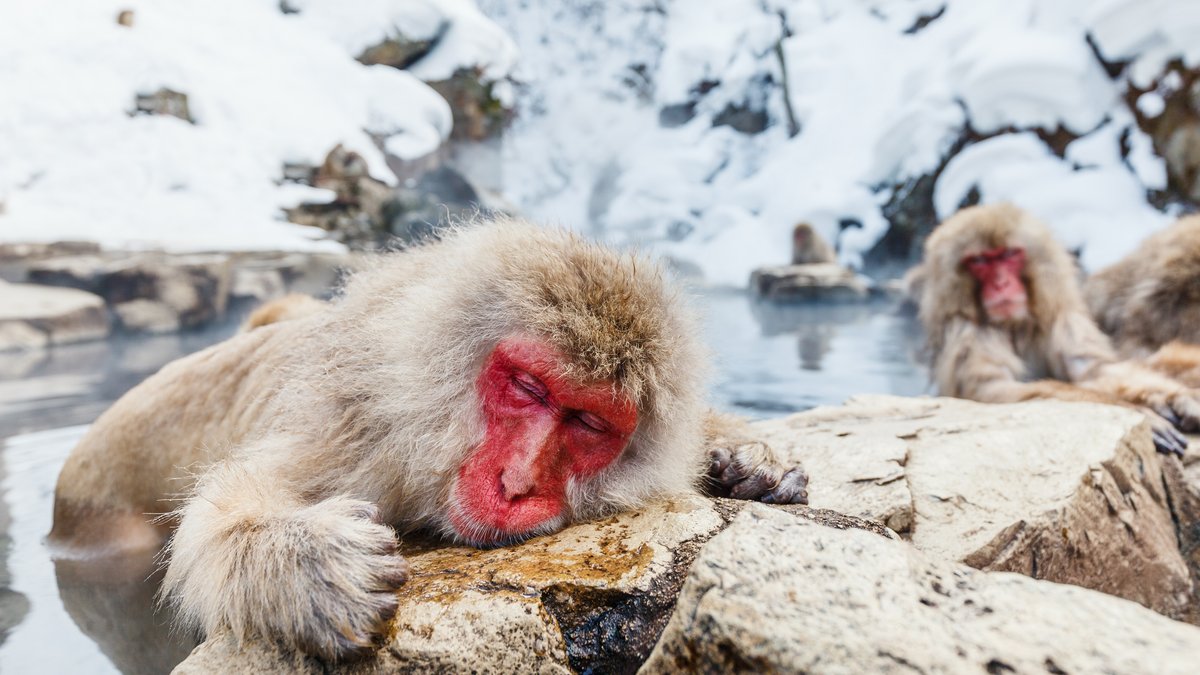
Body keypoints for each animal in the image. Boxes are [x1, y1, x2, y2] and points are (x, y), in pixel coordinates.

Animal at [51, 218, 811, 658]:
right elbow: (225, 510)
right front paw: (305, 562)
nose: (518, 481)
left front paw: (752, 456)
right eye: (529, 388)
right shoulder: (355, 434)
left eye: (589, 422)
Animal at [916, 200, 1200, 451]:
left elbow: (1094, 370)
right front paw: (1141, 412)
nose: (1001, 283)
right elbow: (993, 389)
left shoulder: (1061, 316)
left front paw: (1173, 397)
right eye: (980, 261)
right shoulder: (968, 332)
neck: (1015, 325)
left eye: (1009, 255)